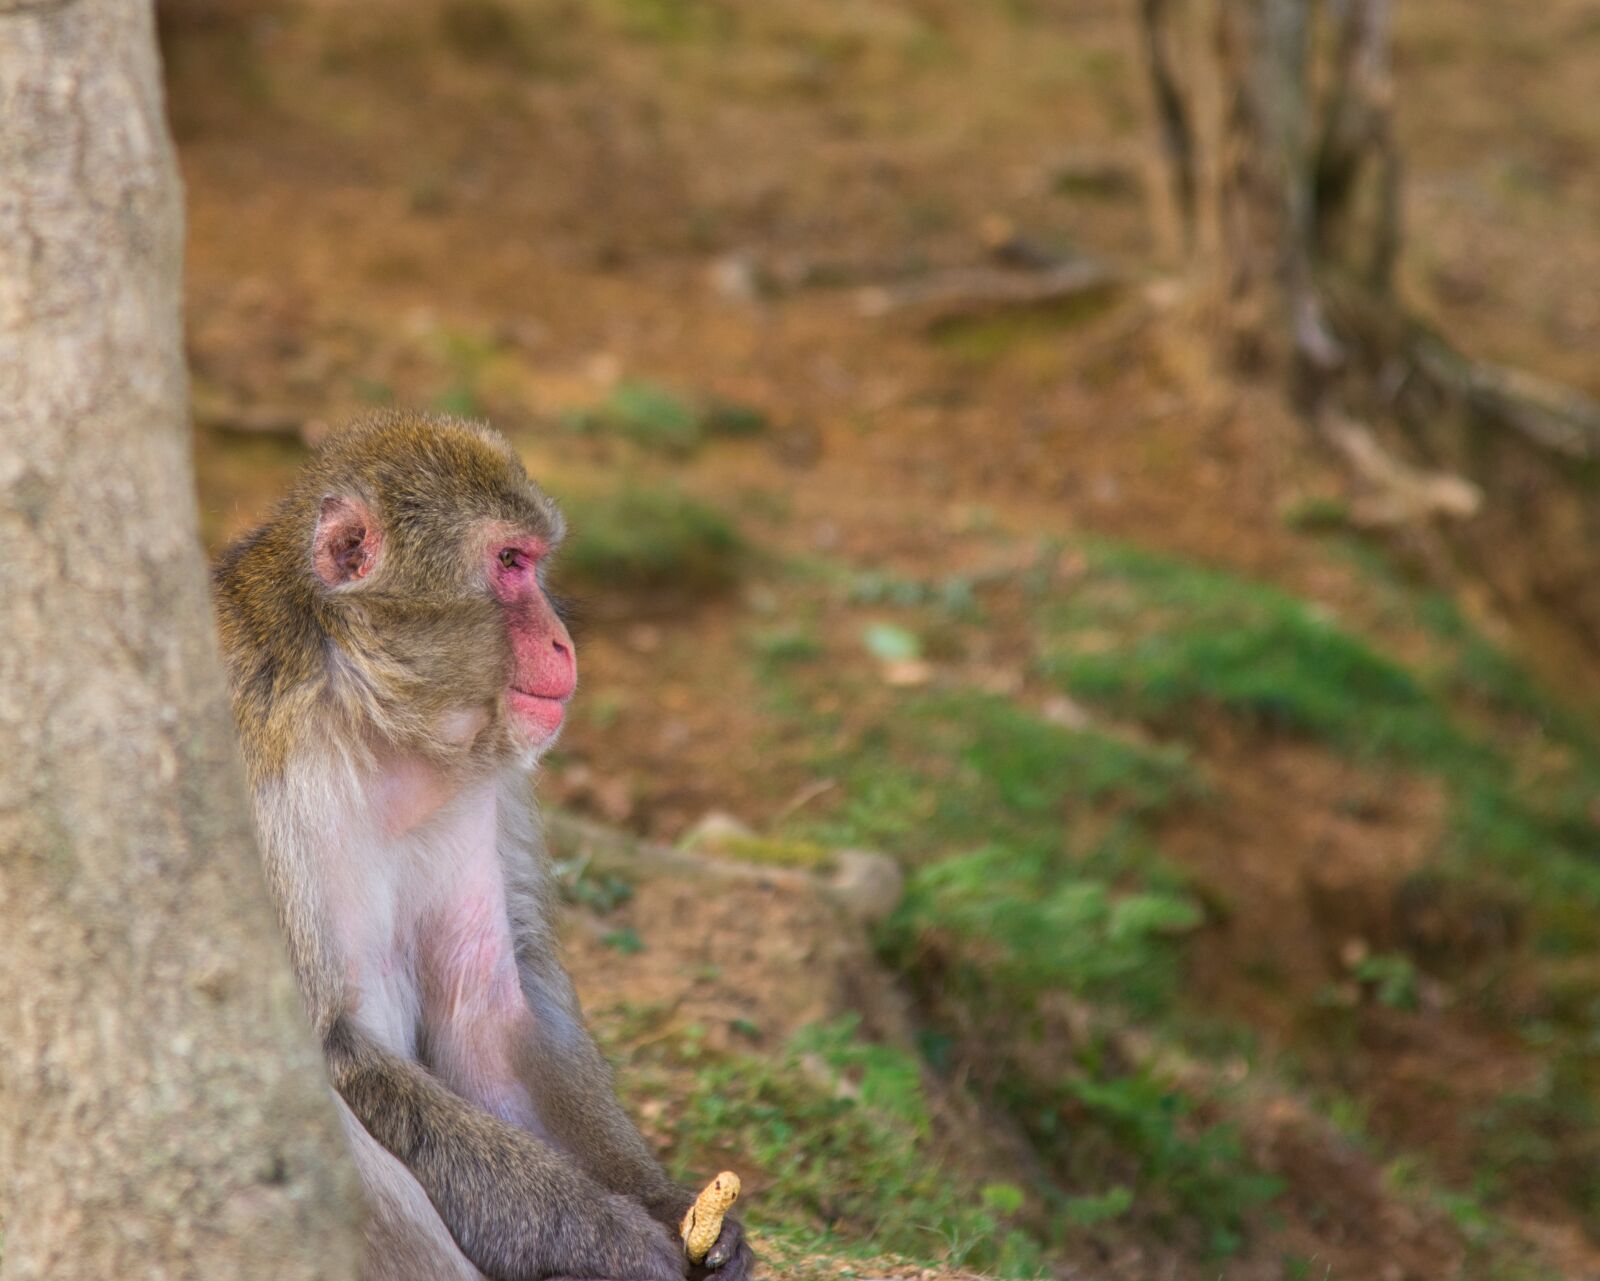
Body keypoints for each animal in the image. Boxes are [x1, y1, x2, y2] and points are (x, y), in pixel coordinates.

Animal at [211, 412, 755, 1281]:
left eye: (534, 560)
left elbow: (488, 1018)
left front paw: (675, 1208)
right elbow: (322, 1045)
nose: (564, 642)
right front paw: (612, 1240)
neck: (372, 720)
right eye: (508, 563)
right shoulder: (256, 780)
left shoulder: (488, 787)